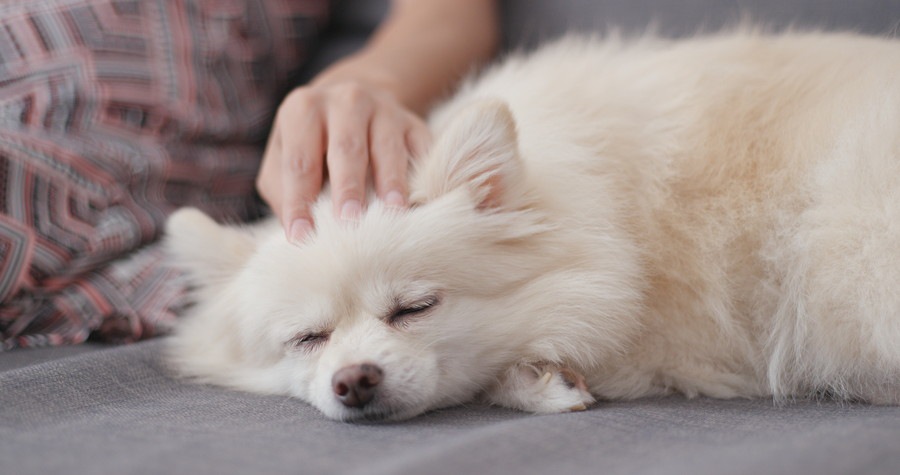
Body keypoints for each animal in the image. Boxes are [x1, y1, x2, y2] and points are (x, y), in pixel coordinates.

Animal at [167, 31, 900, 422]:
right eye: (306, 339)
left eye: (415, 307)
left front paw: (538, 379)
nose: (354, 379)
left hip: (838, 255)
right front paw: (542, 378)